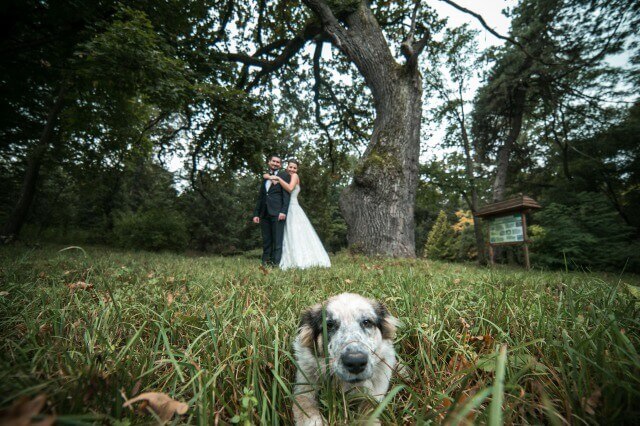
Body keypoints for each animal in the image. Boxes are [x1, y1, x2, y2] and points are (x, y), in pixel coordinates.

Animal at [292, 292, 400, 426]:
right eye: (329, 325)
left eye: (367, 322)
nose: (356, 363)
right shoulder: (302, 390)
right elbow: (308, 413)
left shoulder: (374, 396)